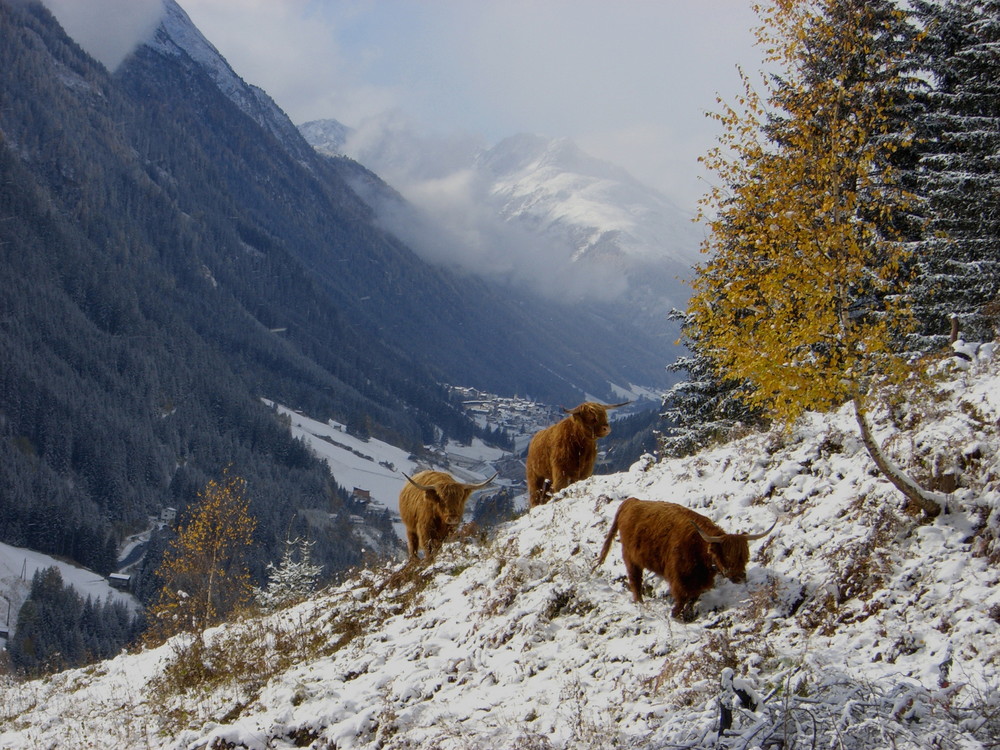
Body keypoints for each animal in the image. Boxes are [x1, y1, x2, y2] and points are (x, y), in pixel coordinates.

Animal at [592, 500, 772, 624]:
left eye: (745, 557)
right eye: (727, 557)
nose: (740, 578)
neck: (699, 549)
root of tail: (632, 501)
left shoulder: (699, 582)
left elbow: (692, 600)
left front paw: (687, 615)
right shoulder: (679, 580)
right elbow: (681, 600)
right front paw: (675, 617)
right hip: (631, 559)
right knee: (635, 582)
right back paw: (640, 604)